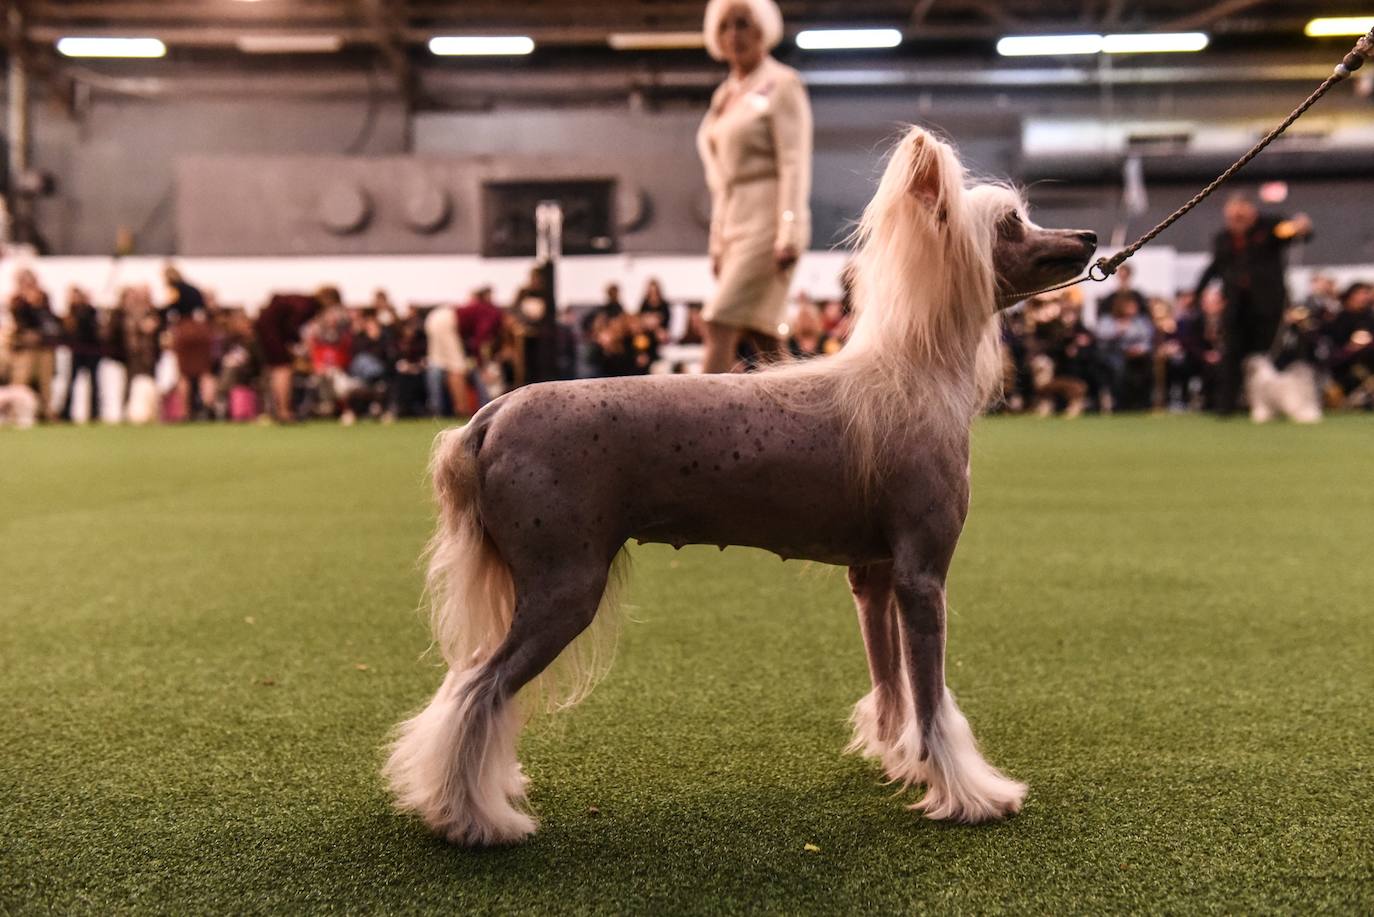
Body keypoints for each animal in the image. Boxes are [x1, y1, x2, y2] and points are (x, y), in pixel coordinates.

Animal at [384, 127, 1093, 846]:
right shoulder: (923, 578)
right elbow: (932, 698)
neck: (916, 375)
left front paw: (901, 761)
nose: (1090, 236)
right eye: (1011, 224)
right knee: (477, 691)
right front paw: (968, 793)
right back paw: (474, 818)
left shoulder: (874, 578)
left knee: (469, 692)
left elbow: (892, 683)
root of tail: (490, 415)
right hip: (564, 587)